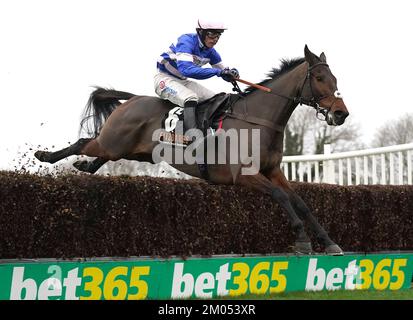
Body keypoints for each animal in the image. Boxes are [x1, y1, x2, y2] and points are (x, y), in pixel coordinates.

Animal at [35, 45, 348, 255]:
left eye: (334, 78)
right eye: (320, 78)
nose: (341, 113)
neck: (259, 119)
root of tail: (132, 99)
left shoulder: (272, 170)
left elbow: (301, 202)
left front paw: (329, 242)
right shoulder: (244, 176)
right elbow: (281, 197)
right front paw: (303, 241)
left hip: (129, 150)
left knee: (97, 155)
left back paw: (84, 166)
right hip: (113, 141)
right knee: (82, 143)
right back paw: (45, 156)